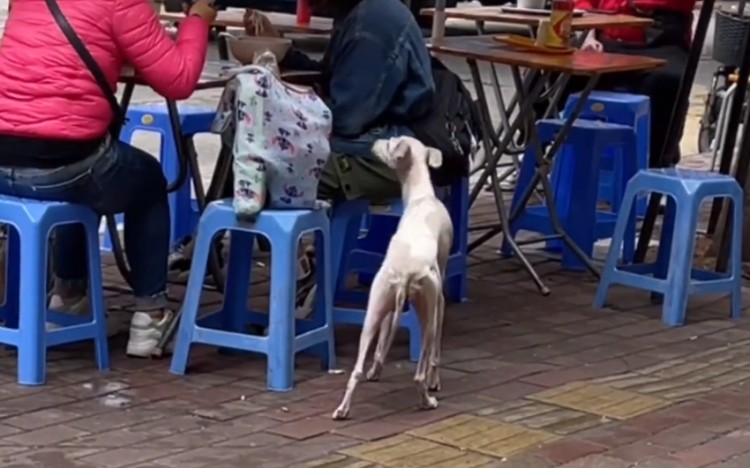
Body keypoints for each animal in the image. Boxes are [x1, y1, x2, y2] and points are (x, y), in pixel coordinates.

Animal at [334, 135, 452, 420]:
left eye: (390, 142)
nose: (375, 140)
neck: (421, 196)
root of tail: (406, 273)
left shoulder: (387, 311)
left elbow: (382, 344)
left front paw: (376, 370)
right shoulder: (440, 299)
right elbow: (436, 354)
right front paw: (436, 381)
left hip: (375, 308)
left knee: (356, 369)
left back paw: (343, 409)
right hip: (427, 312)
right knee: (420, 372)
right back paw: (428, 399)